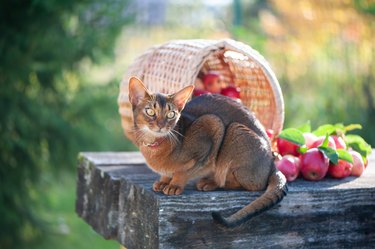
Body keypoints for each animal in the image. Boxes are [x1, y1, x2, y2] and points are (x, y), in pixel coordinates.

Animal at [128, 76, 290, 228]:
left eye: (171, 114)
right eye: (150, 111)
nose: (161, 125)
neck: (154, 144)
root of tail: (272, 161)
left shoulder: (211, 127)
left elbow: (183, 171)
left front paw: (174, 184)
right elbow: (167, 173)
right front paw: (163, 181)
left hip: (234, 131)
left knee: (253, 185)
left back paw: (210, 182)